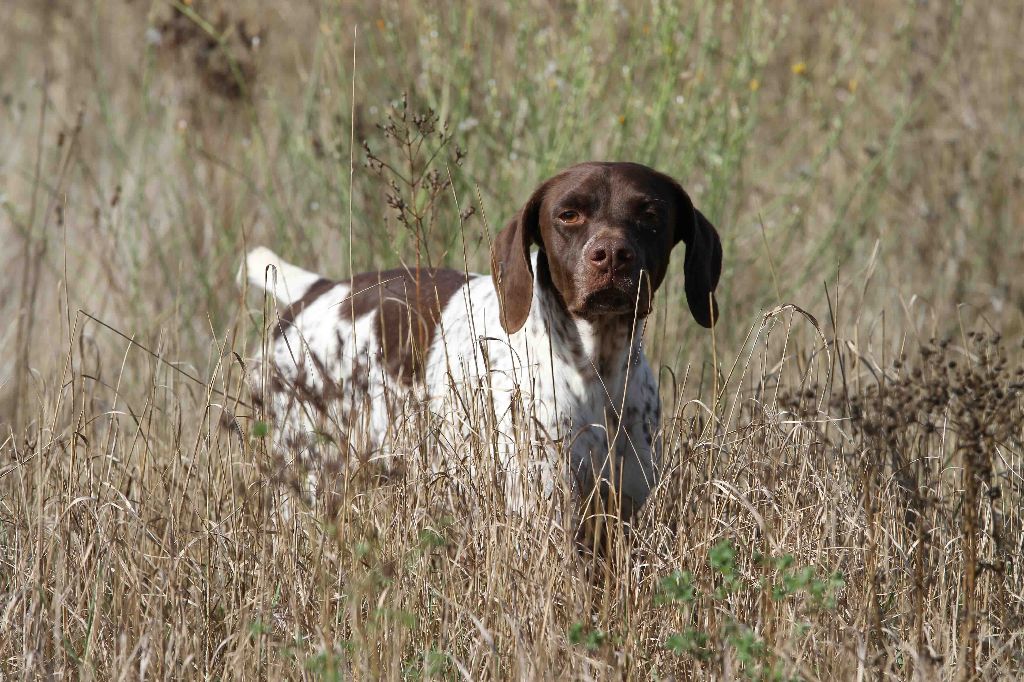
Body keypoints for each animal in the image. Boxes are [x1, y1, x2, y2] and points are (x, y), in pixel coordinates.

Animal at [238, 161, 720, 512]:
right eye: (568, 214)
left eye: (650, 215)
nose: (613, 255)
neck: (598, 371)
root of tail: (315, 291)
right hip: (306, 475)